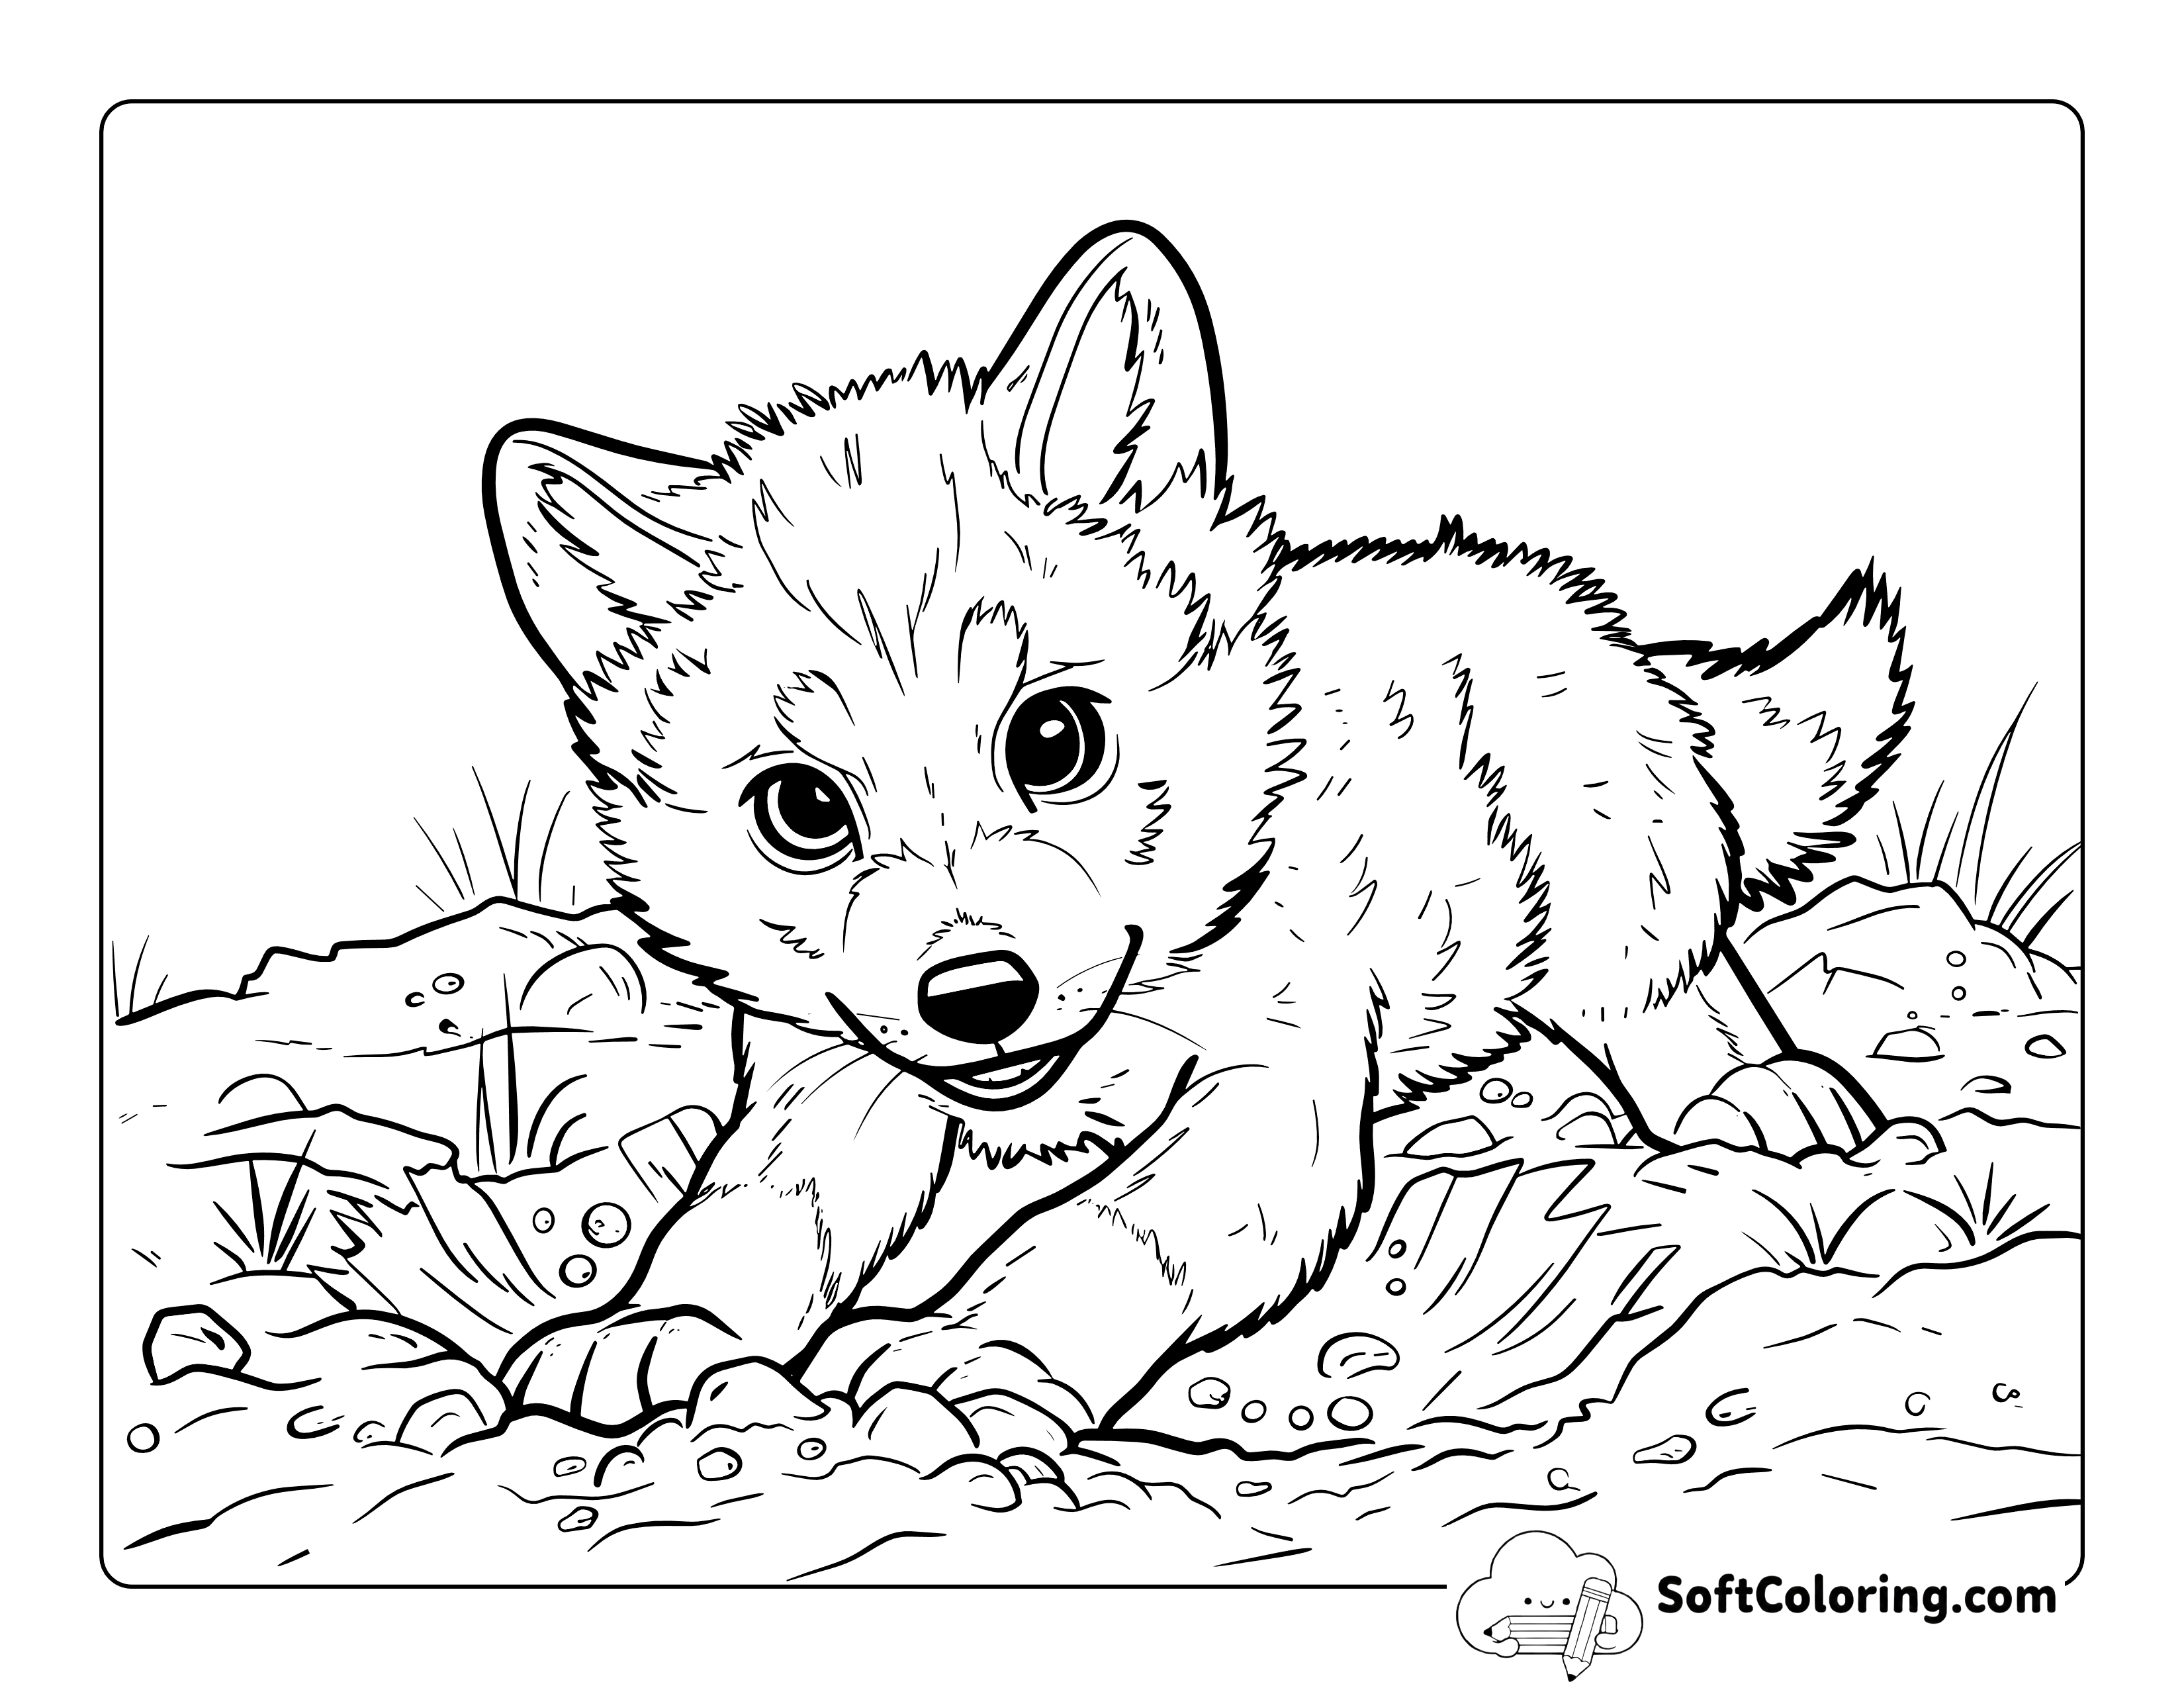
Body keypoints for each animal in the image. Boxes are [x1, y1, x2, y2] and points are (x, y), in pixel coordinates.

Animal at [488, 222, 1911, 1444]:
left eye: (1053, 740)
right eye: (803, 811)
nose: (976, 998)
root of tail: (1594, 626)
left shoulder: (1268, 1091)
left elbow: (1105, 1230)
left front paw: (966, 1356)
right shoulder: (831, 1086)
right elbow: (749, 1215)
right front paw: (654, 1325)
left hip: (1610, 853)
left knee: (1669, 980)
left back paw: (1756, 1090)